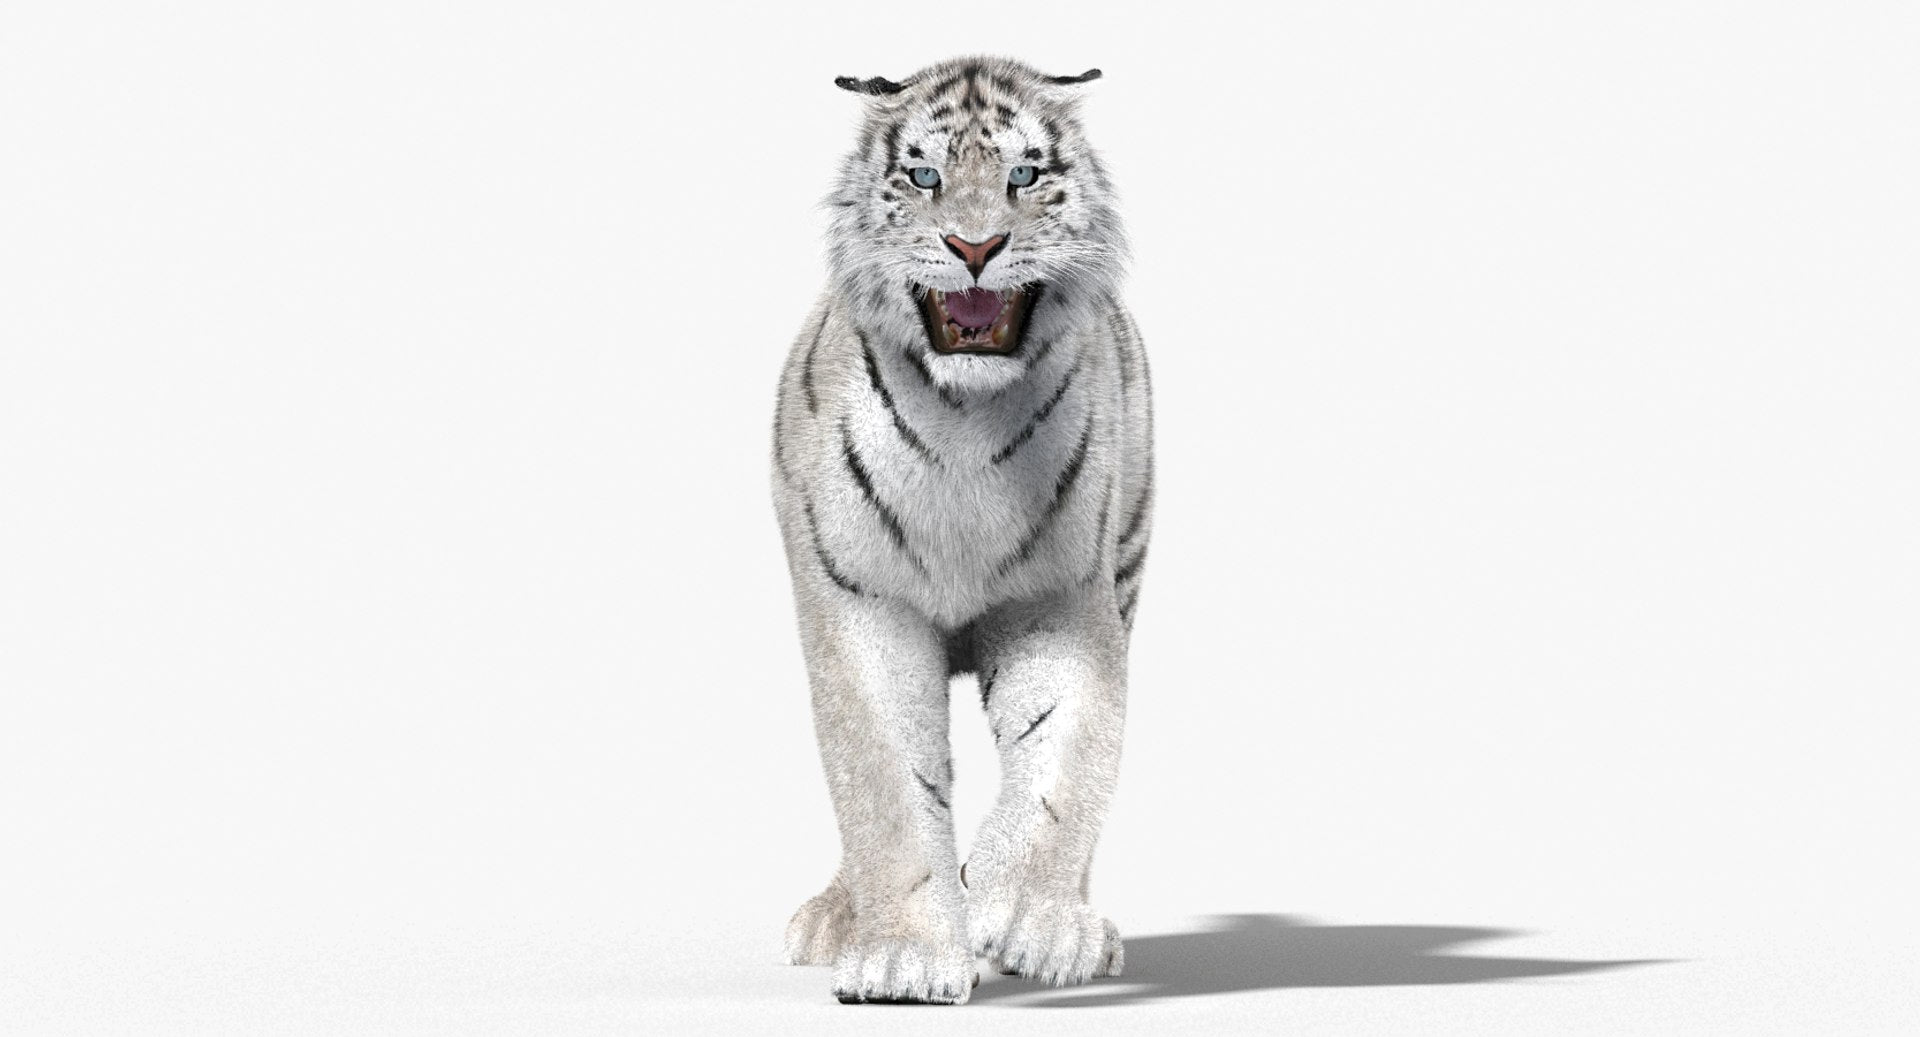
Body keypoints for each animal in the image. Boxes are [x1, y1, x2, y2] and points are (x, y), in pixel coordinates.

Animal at [769, 55, 1152, 1005]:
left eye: (1024, 174)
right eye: (923, 177)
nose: (975, 248)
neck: (963, 424)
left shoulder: (1065, 601)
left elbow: (1062, 768)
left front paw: (1031, 919)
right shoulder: (860, 605)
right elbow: (887, 788)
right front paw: (904, 955)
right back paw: (834, 916)